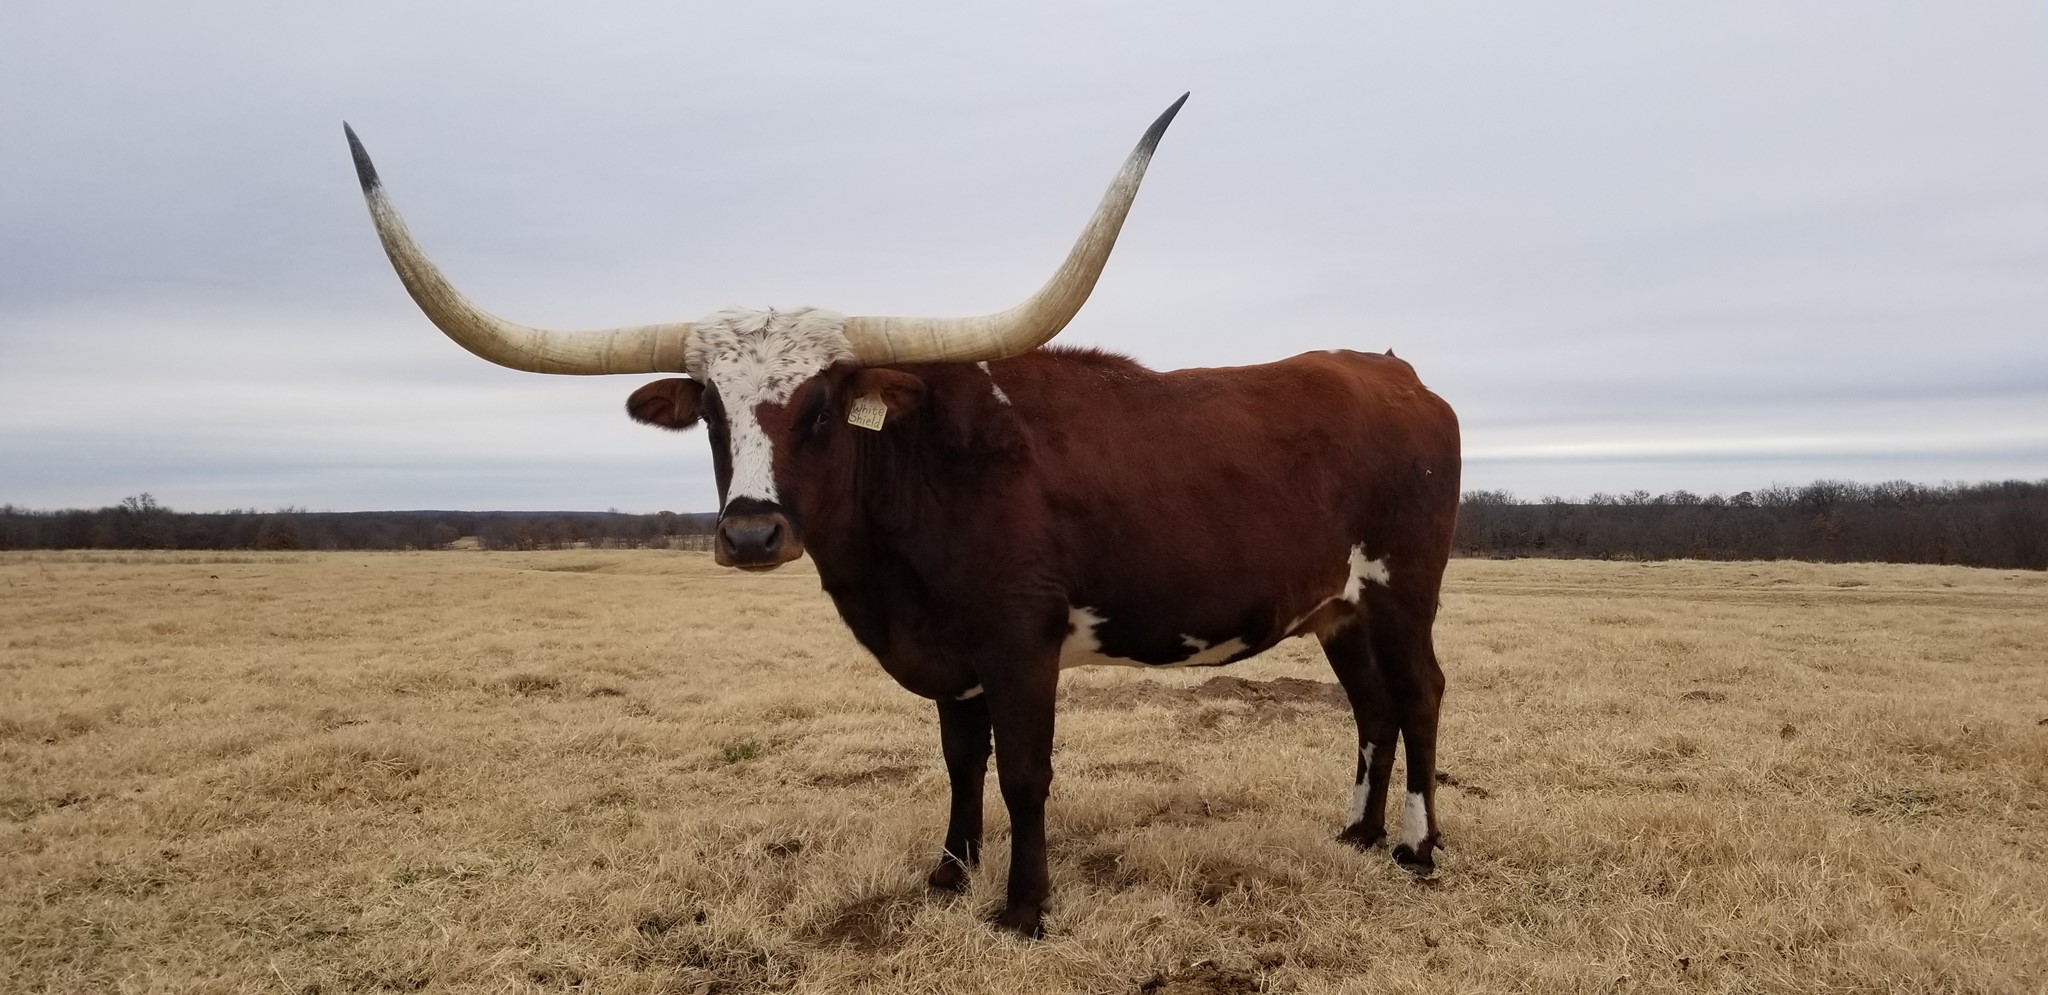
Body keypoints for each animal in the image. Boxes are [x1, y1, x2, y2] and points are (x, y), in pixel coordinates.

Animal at [344, 95, 1461, 938]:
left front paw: (1023, 908)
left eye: (823, 406)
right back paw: (1357, 834)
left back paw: (1416, 845)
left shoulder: (1020, 646)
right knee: (1369, 708)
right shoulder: (947, 654)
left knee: (1417, 696)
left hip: (1405, 589)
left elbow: (1024, 771)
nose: (750, 534)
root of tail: (1394, 372)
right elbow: (962, 763)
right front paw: (949, 873)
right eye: (708, 407)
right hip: (1337, 607)